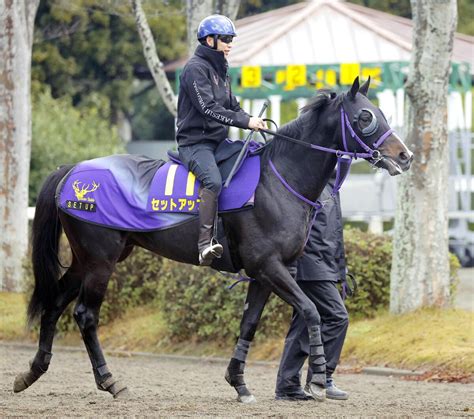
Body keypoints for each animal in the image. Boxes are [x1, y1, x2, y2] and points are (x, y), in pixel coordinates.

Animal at [14, 78, 412, 404]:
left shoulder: (266, 274)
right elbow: (311, 309)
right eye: (365, 117)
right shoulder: (269, 266)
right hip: (100, 260)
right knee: (85, 315)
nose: (404, 156)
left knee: (54, 303)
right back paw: (110, 381)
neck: (278, 179)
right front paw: (315, 378)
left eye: (381, 112)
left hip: (88, 259)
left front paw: (239, 383)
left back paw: (32, 372)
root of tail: (72, 171)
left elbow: (249, 323)